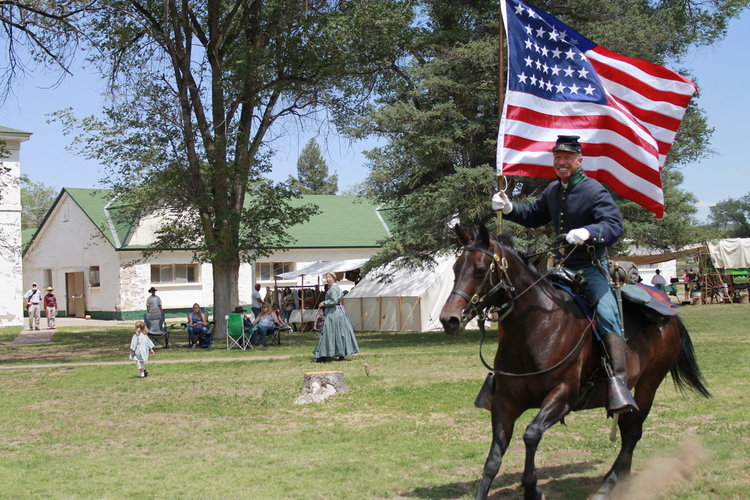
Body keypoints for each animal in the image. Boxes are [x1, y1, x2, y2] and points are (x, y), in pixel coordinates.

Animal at [440, 227, 712, 500]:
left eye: (480, 270)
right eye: (455, 268)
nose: (449, 319)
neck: (536, 329)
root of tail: (670, 314)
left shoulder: (563, 397)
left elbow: (531, 434)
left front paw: (533, 489)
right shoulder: (504, 404)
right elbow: (493, 460)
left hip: (649, 383)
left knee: (633, 432)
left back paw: (608, 485)